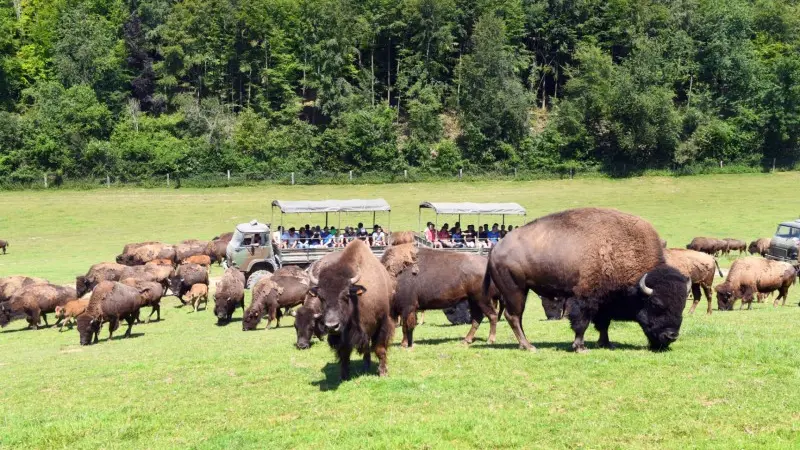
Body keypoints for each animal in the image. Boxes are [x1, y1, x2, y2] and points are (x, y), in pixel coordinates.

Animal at [306, 239, 394, 380]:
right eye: (321, 297)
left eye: (346, 295)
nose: (332, 326)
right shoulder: (342, 335)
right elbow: (344, 353)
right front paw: (344, 375)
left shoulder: (382, 323)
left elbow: (380, 349)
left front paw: (383, 372)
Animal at [484, 207, 692, 352]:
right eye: (656, 304)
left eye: (682, 305)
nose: (672, 335)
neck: (622, 250)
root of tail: (496, 248)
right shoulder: (586, 298)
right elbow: (582, 322)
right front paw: (580, 347)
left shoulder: (606, 301)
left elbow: (603, 323)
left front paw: (606, 344)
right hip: (515, 290)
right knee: (513, 316)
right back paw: (529, 346)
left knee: (515, 317)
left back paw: (525, 344)